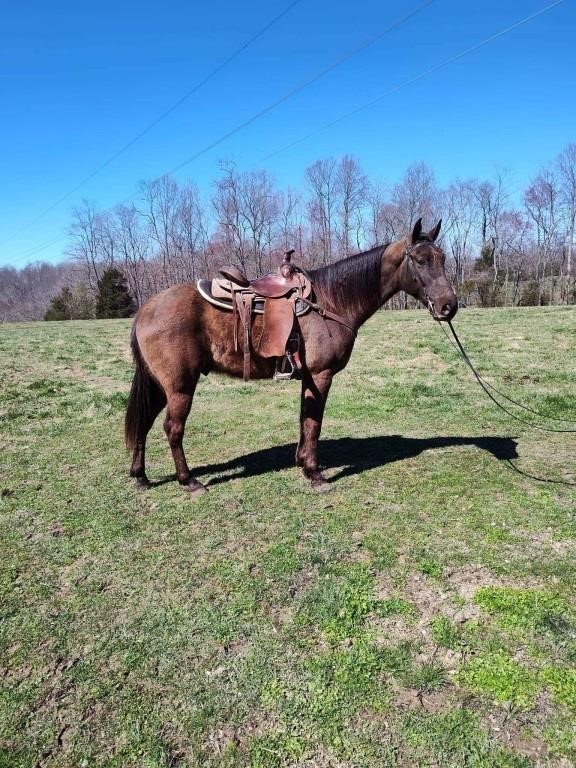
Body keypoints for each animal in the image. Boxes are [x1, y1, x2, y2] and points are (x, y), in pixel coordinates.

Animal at [126, 220, 460, 498]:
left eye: (443, 258)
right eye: (420, 261)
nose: (449, 307)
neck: (331, 300)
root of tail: (145, 309)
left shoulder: (308, 376)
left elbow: (305, 419)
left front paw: (302, 462)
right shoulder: (322, 375)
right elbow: (314, 422)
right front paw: (315, 474)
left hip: (160, 386)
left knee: (143, 424)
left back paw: (140, 476)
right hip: (180, 387)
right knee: (173, 428)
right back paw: (189, 481)